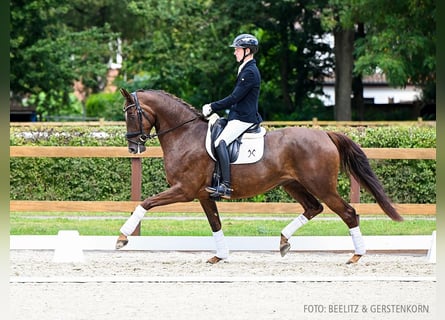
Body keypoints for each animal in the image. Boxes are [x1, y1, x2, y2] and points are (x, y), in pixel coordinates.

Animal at [115, 89, 402, 264]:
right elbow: (215, 224)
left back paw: (356, 256)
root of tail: (325, 134)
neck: (185, 135)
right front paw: (220, 256)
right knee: (314, 208)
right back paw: (284, 241)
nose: (133, 148)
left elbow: (145, 203)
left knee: (348, 213)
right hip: (293, 184)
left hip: (321, 185)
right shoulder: (202, 195)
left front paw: (122, 238)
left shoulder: (184, 190)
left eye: (130, 113)